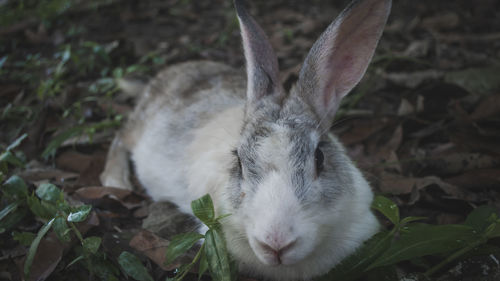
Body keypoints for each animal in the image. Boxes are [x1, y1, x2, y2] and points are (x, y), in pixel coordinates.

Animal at [100, 0, 390, 278]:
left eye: (319, 157)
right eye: (239, 162)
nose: (276, 244)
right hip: (140, 128)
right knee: (120, 137)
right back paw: (116, 182)